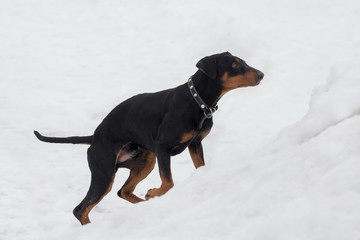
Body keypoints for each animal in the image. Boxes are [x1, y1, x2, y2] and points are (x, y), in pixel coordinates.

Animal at [33, 52, 264, 225]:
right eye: (234, 64)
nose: (261, 74)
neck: (196, 100)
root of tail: (95, 137)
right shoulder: (163, 148)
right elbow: (168, 182)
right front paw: (154, 192)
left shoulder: (195, 144)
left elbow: (199, 169)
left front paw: (153, 194)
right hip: (105, 173)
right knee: (80, 209)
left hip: (145, 161)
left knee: (123, 191)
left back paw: (146, 204)